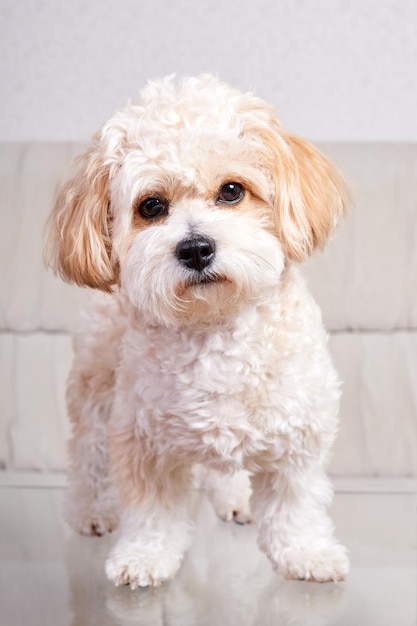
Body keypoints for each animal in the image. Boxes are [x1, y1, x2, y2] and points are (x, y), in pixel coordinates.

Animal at [45, 75, 350, 588]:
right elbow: (153, 510)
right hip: (96, 388)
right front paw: (144, 556)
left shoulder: (298, 437)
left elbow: (295, 505)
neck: (215, 328)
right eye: (151, 206)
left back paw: (235, 500)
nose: (195, 248)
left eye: (231, 191)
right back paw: (91, 511)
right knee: (87, 453)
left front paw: (306, 554)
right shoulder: (141, 439)